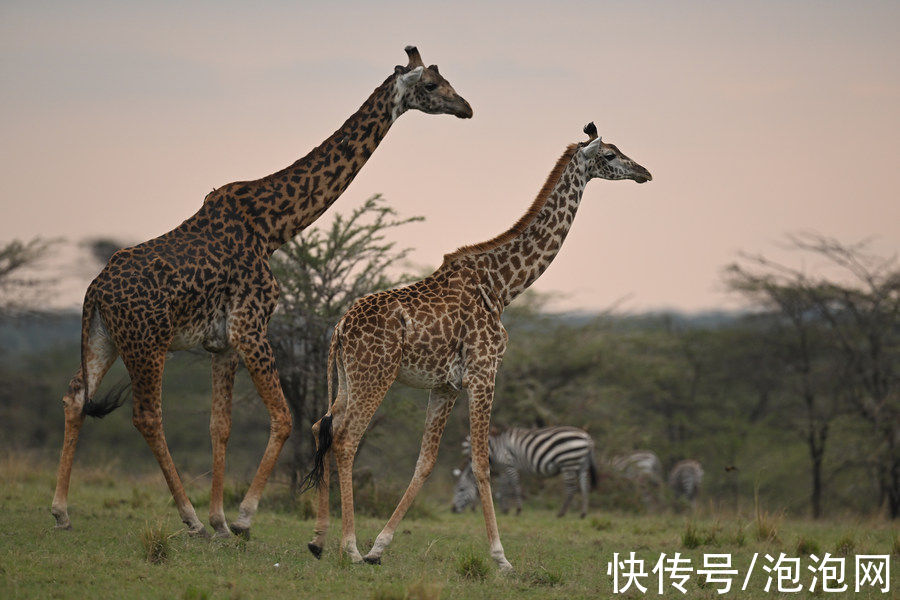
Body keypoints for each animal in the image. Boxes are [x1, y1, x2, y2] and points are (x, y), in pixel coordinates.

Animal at [50, 44, 474, 536]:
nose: (466, 108)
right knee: (147, 415)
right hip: (147, 343)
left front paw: (220, 519)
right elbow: (284, 417)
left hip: (104, 338)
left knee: (75, 396)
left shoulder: (223, 343)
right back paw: (188, 517)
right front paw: (241, 517)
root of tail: (94, 291)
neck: (273, 226)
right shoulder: (251, 327)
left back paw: (62, 511)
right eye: (432, 85)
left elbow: (221, 426)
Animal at [450, 424, 596, 516]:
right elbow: (502, 488)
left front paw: (518, 510)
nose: (452, 509)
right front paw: (504, 509)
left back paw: (561, 513)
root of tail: (587, 437)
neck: (494, 449)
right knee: (585, 487)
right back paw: (583, 513)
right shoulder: (503, 468)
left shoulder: (509, 464)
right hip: (582, 465)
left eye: (461, 489)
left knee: (572, 489)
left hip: (568, 462)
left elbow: (514, 485)